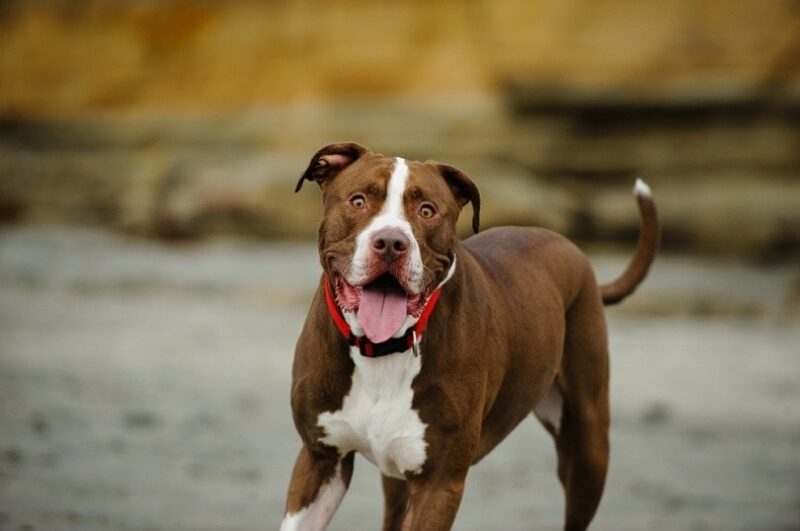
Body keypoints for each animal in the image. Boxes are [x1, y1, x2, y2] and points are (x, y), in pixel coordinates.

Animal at [278, 143, 660, 528]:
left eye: (427, 210)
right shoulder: (319, 460)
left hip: (587, 445)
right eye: (358, 201)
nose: (390, 242)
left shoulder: (438, 484)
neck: (382, 349)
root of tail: (573, 250)